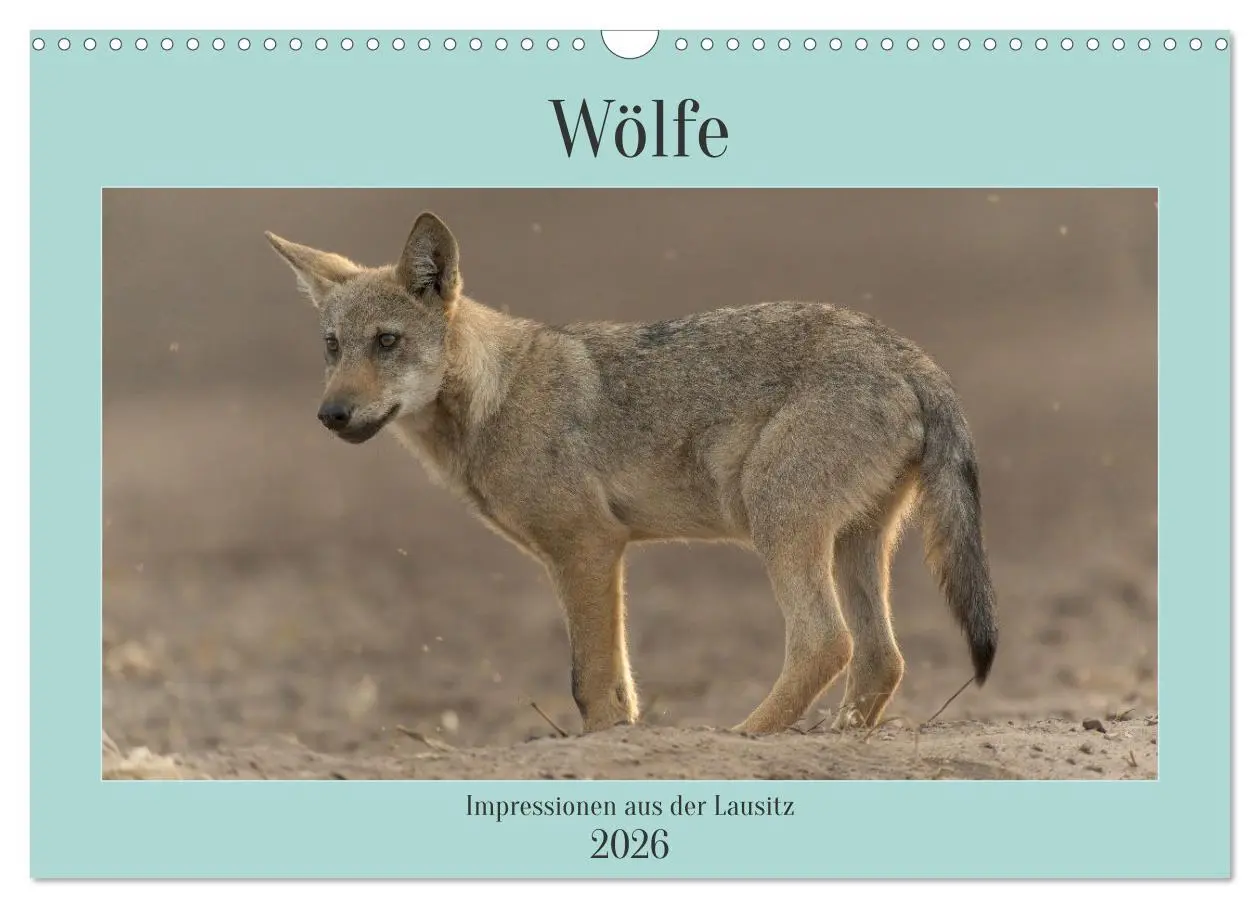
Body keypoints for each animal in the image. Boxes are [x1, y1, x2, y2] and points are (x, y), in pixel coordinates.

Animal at [265, 212, 998, 735]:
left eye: (387, 342)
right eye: (332, 347)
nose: (331, 413)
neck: (495, 398)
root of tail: (911, 354)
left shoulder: (588, 548)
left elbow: (589, 681)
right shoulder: (592, 555)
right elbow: (616, 685)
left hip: (780, 522)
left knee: (826, 643)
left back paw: (742, 737)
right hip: (855, 542)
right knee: (880, 660)